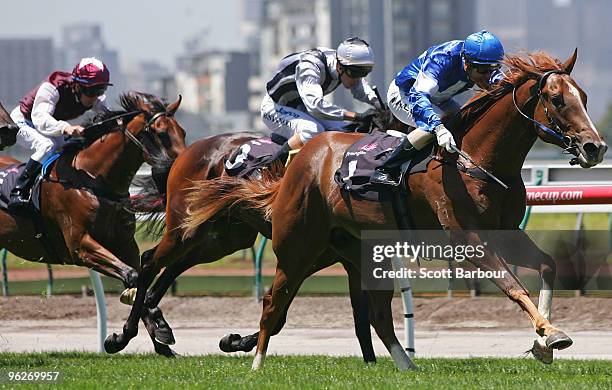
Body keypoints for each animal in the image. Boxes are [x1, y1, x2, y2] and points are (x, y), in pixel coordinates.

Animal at [0, 91, 186, 354]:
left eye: (183, 132)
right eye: (161, 133)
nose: (182, 169)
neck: (93, 180)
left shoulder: (125, 244)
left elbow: (141, 276)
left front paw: (158, 336)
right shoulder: (79, 246)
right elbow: (132, 276)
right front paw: (132, 333)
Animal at [183, 50, 608, 370]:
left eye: (585, 97)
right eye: (558, 100)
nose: (595, 148)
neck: (477, 158)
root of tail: (305, 156)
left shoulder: (506, 231)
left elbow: (547, 266)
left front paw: (543, 341)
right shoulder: (467, 238)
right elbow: (513, 285)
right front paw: (551, 334)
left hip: (356, 250)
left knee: (377, 314)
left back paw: (407, 365)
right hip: (298, 244)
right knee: (274, 301)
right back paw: (257, 363)